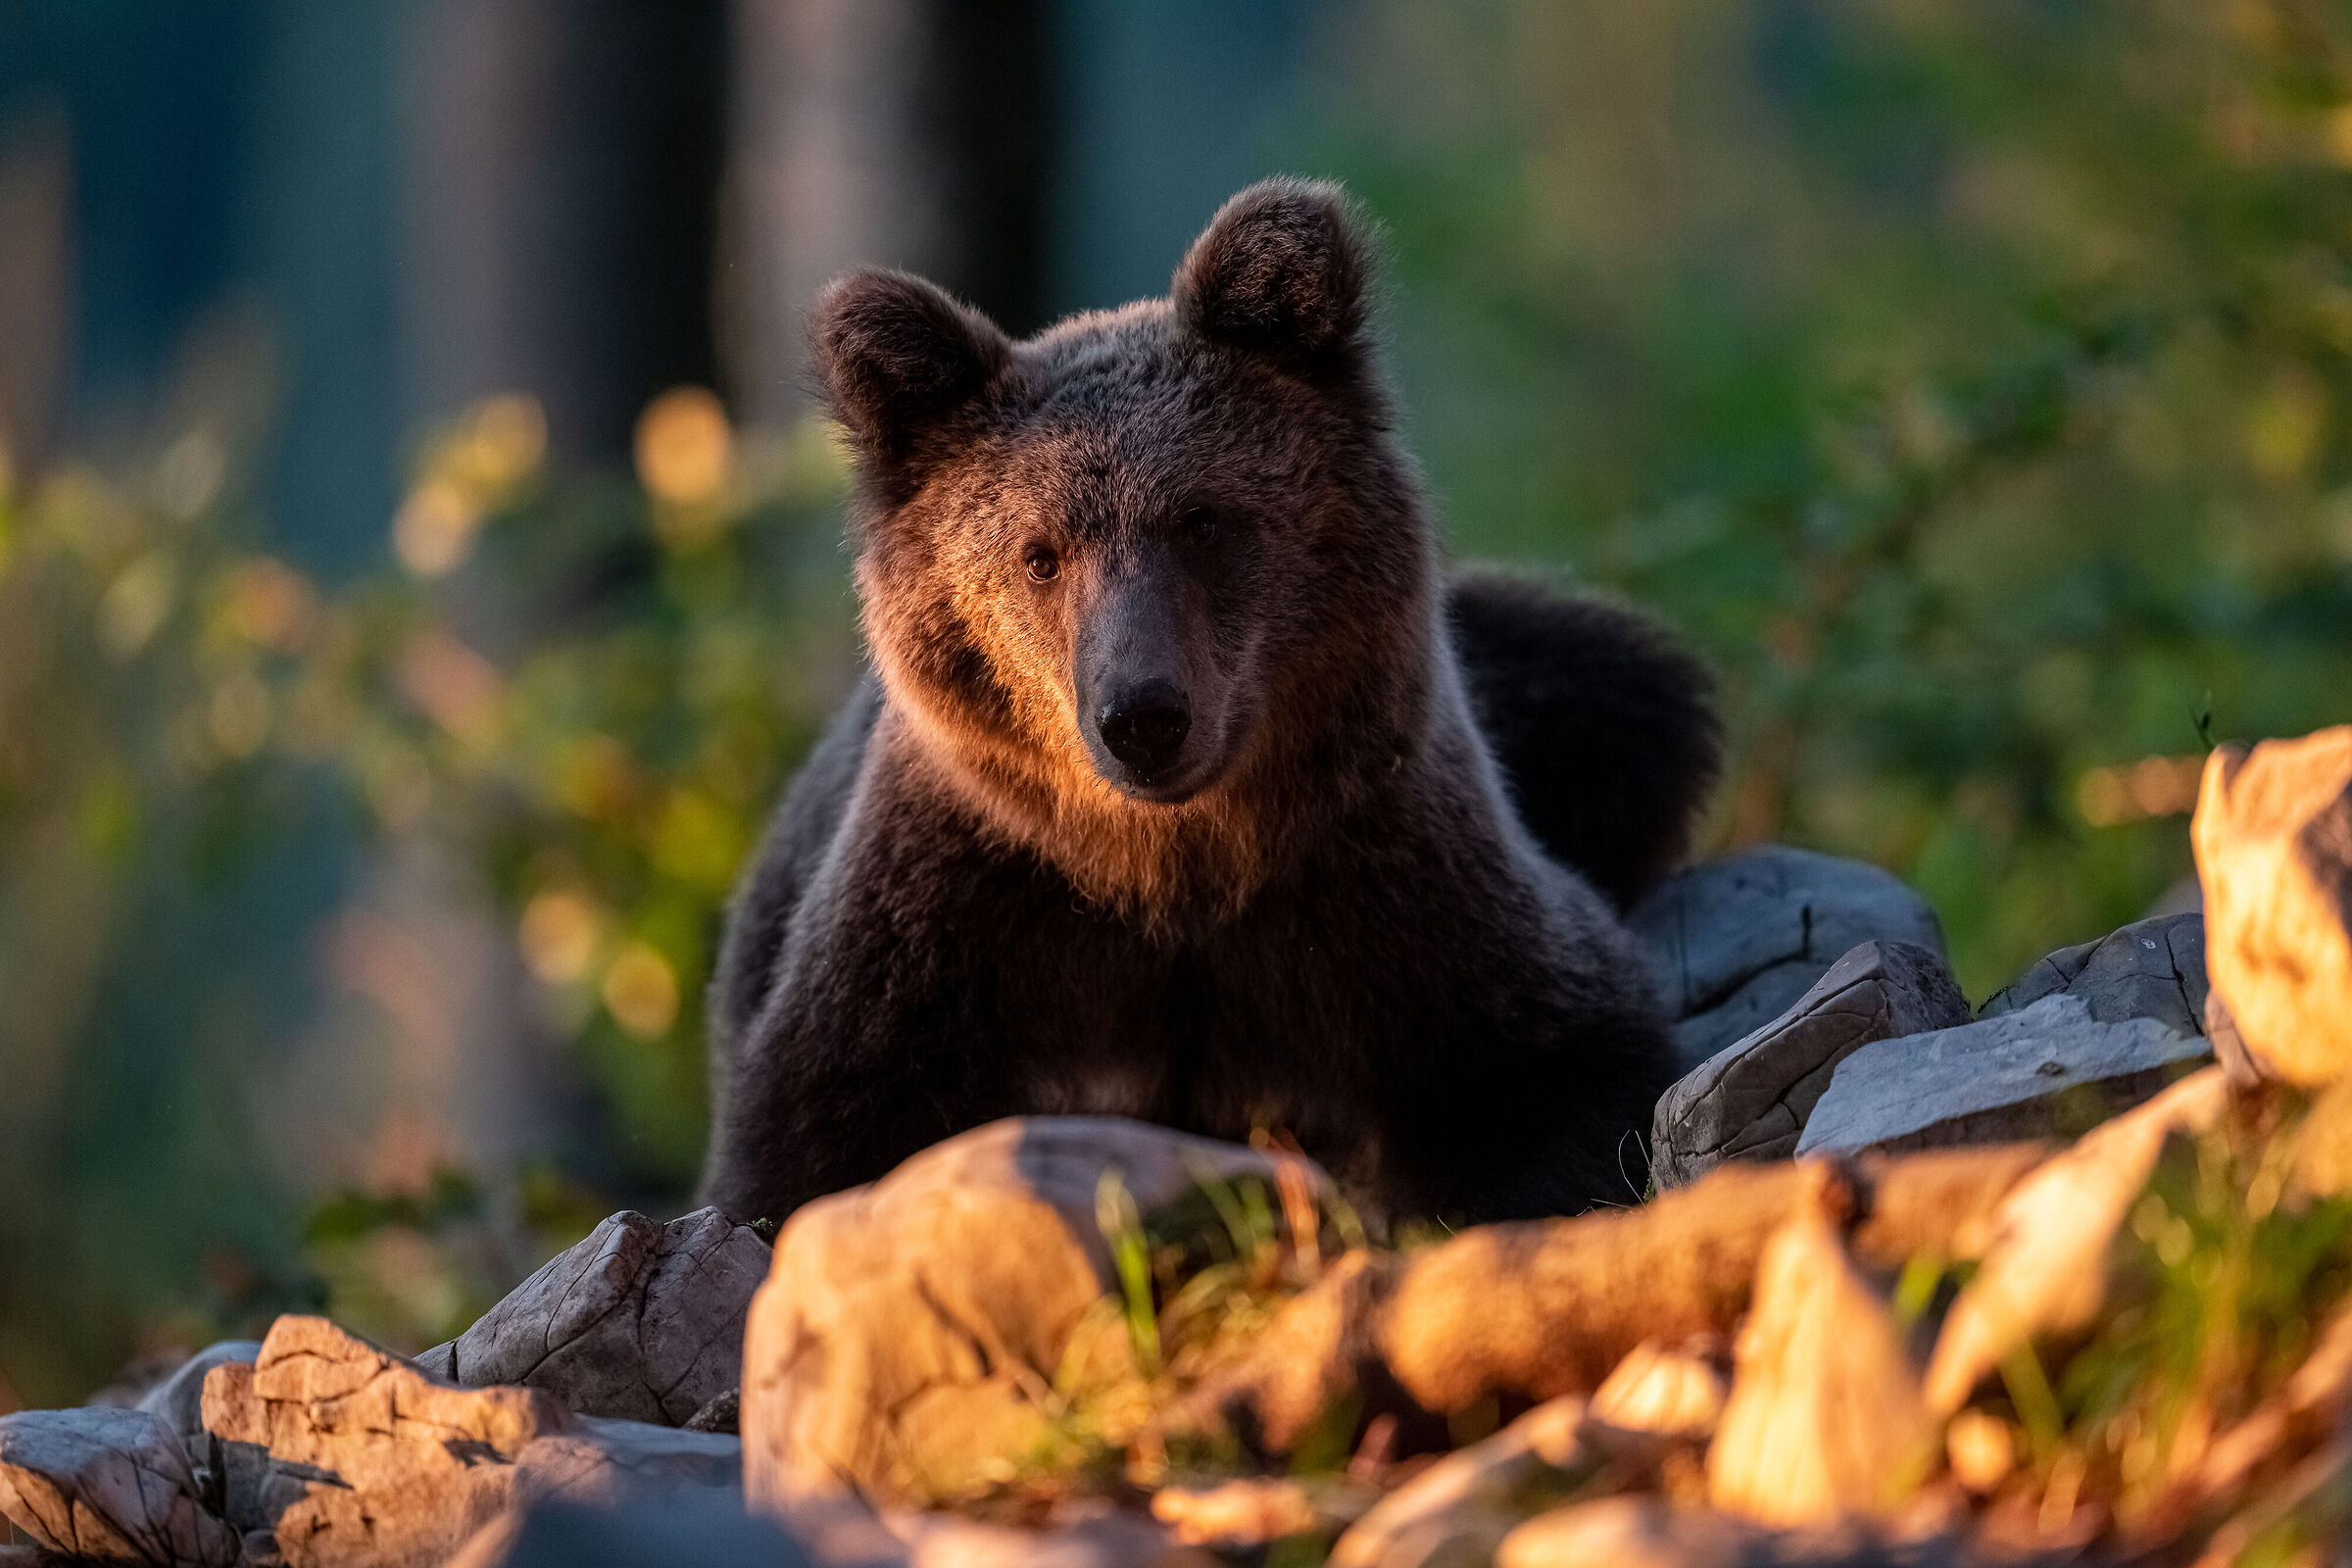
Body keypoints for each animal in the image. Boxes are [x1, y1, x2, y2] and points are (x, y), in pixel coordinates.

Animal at [700, 179, 1719, 1229]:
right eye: (1039, 554)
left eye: (1201, 518)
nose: (1143, 716)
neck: (1172, 867)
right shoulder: (966, 909)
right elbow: (815, 1133)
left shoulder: (1378, 877)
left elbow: (1548, 1060)